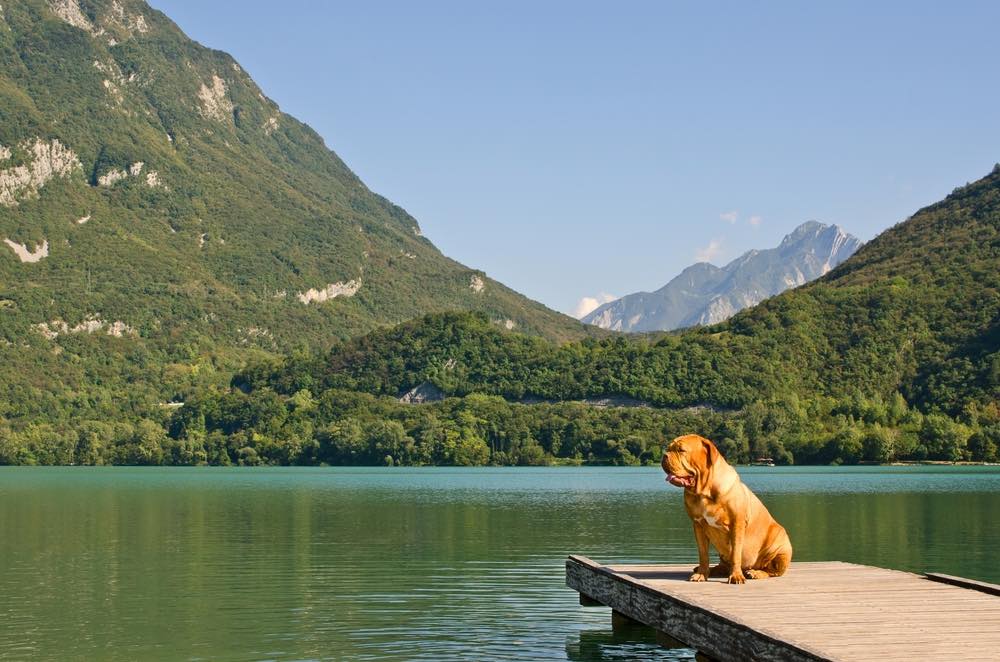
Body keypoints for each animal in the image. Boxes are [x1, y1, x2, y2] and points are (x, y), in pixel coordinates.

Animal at [660, 436, 792, 588]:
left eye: (681, 450)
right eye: (668, 448)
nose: (664, 455)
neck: (704, 491)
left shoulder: (737, 524)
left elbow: (735, 554)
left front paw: (736, 576)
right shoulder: (698, 525)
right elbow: (703, 554)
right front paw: (701, 574)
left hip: (781, 549)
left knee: (771, 571)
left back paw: (755, 573)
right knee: (722, 564)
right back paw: (709, 569)